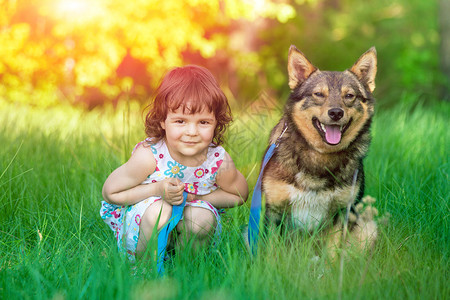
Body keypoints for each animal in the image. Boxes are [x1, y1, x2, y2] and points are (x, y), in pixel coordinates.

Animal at [262, 45, 378, 256]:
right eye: (318, 94)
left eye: (349, 96)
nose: (336, 113)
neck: (321, 155)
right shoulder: (275, 211)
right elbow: (272, 252)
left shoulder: (341, 212)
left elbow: (332, 254)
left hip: (369, 228)